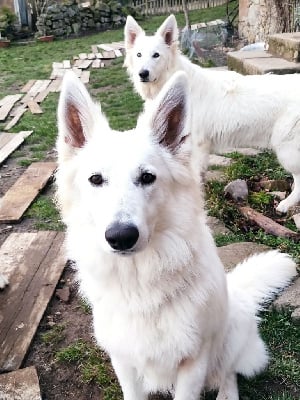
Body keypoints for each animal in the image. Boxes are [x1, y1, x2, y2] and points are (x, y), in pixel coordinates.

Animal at [55, 69, 296, 400]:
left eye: (147, 177)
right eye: (95, 179)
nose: (120, 236)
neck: (139, 286)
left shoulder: (194, 360)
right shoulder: (123, 361)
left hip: (230, 336)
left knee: (229, 373)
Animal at [123, 14, 300, 216]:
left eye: (156, 55)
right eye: (138, 55)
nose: (142, 74)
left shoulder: (197, 147)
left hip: (287, 151)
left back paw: (286, 204)